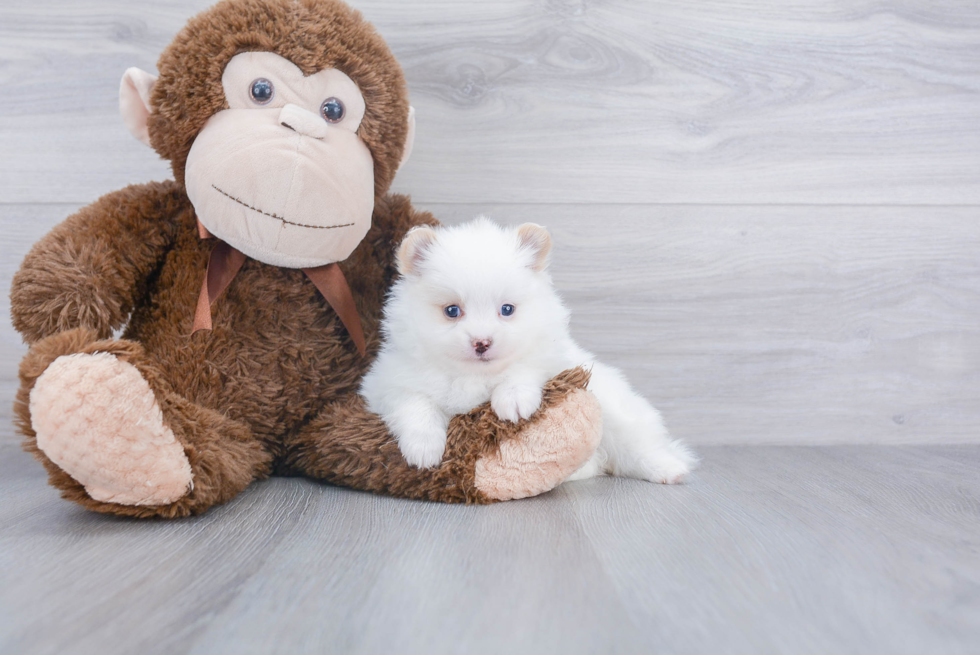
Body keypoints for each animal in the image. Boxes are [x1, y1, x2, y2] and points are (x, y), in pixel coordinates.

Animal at [360, 218, 696, 484]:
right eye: (452, 311)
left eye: (507, 309)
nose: (482, 342)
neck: (473, 376)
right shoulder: (388, 382)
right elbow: (416, 406)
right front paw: (424, 449)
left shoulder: (553, 359)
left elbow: (524, 368)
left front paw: (513, 400)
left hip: (616, 414)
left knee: (637, 448)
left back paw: (669, 469)